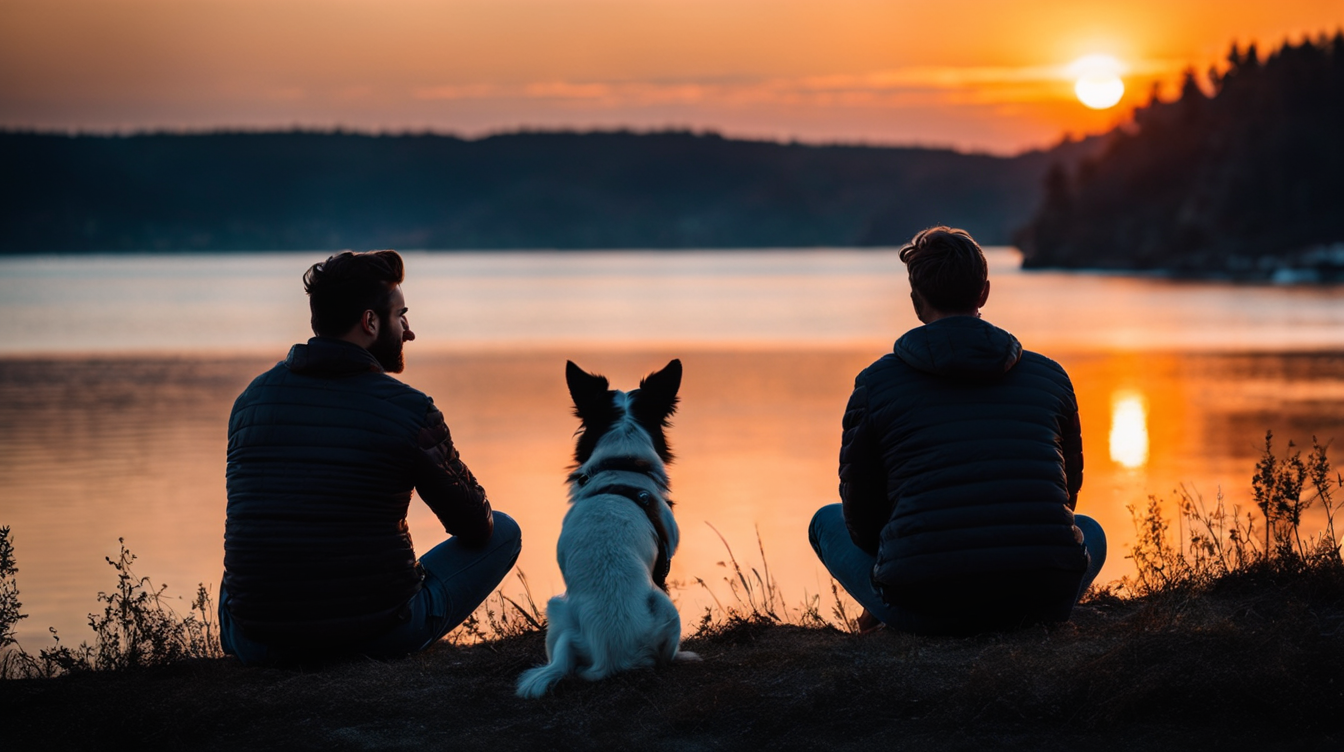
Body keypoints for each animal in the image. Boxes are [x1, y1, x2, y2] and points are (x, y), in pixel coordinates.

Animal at [513, 359, 698, 698]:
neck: (620, 465)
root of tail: (612, 658)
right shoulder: (663, 564)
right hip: (662, 610)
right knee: (665, 656)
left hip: (560, 611)